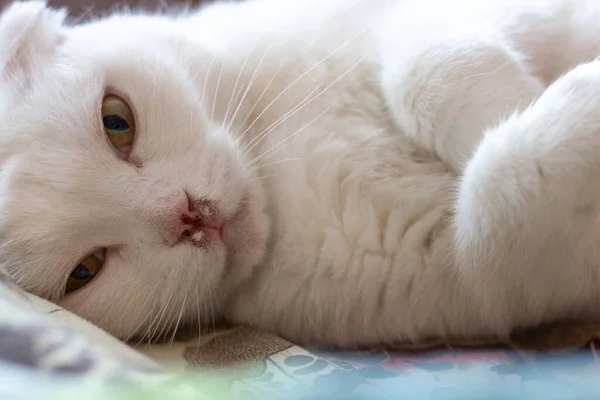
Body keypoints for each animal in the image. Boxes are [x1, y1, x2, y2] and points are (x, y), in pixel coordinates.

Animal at [1, 0, 600, 346]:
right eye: (85, 270)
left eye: (116, 121)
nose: (190, 215)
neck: (276, 155)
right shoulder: (481, 276)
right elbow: (495, 196)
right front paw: (563, 101)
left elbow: (433, 71)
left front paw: (517, 100)